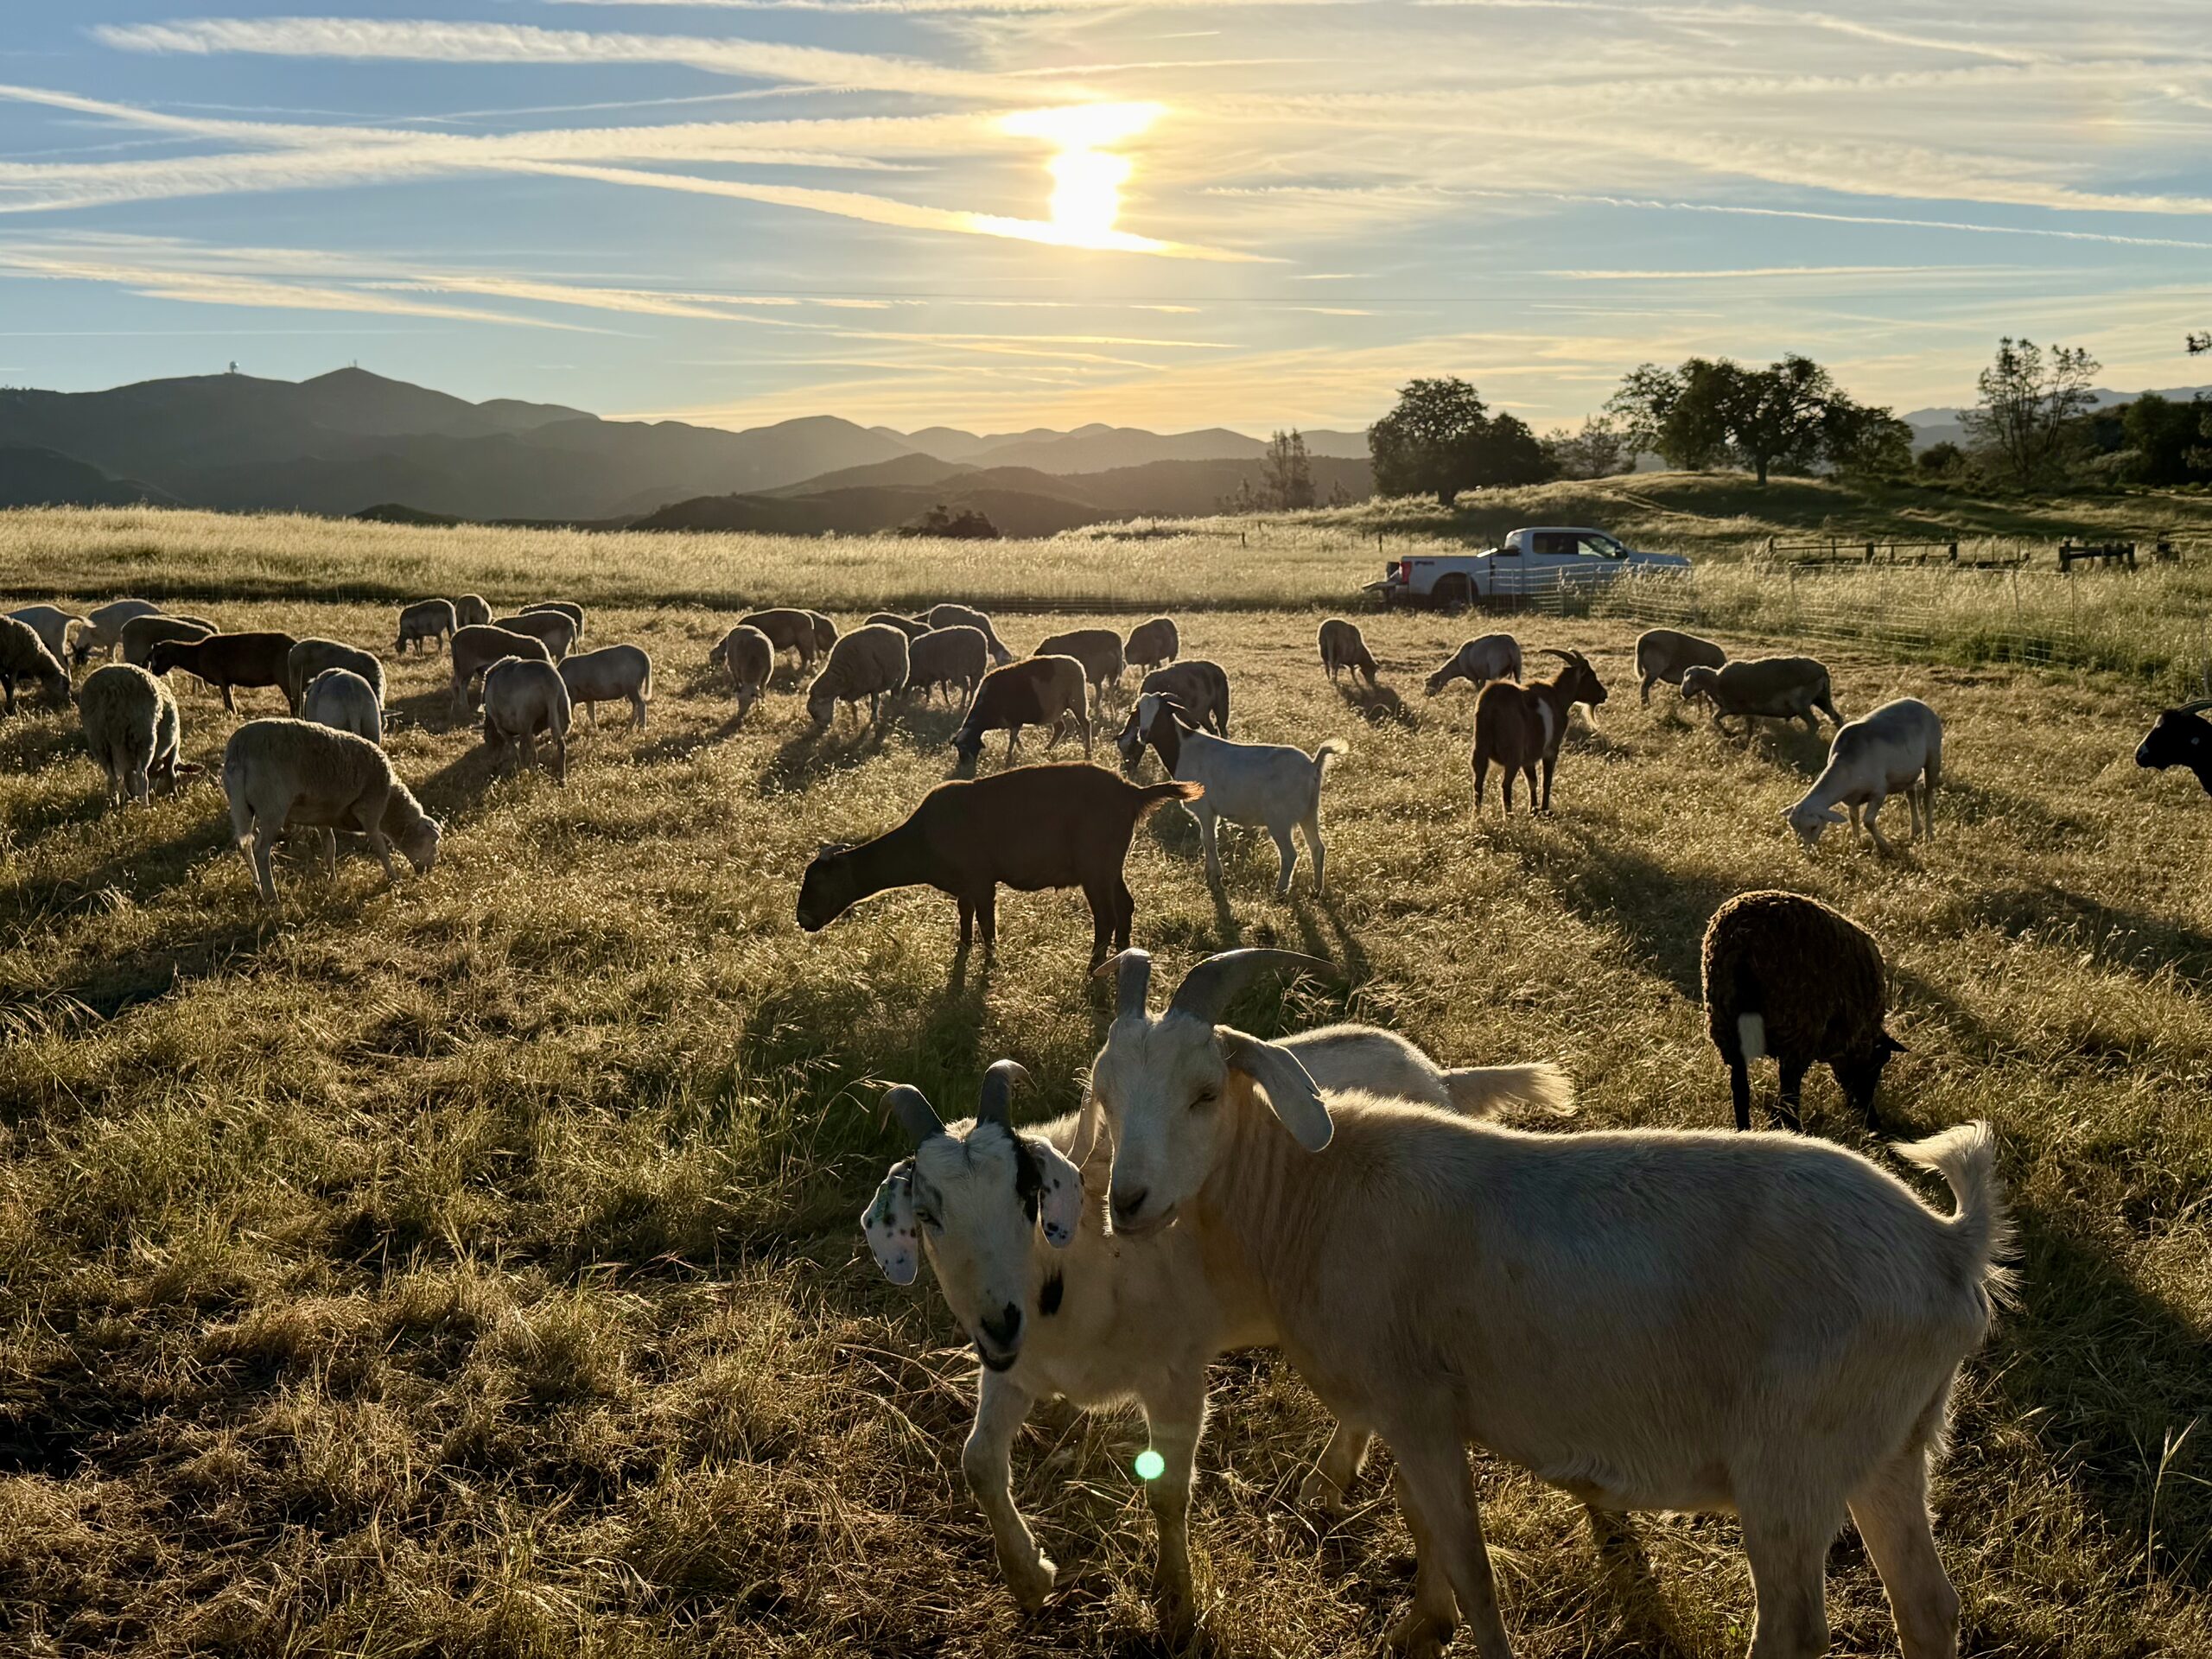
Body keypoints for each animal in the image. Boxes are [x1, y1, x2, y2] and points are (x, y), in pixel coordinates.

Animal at [797, 762, 1198, 967]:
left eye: (818, 884)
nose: (803, 920)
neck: (922, 840)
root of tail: (1132, 792)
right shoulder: (964, 885)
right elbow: (966, 915)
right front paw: (963, 949)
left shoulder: (981, 879)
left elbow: (987, 923)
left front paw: (990, 963)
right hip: (1111, 864)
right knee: (1126, 907)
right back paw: (1122, 958)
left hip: (1094, 865)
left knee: (1107, 916)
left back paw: (1094, 969)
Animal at [1083, 947, 2008, 1659]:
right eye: (1107, 1093)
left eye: (1206, 1091)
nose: (1128, 1201)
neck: (1314, 1191)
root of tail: (1949, 1247)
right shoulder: (1417, 1413)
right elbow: (1422, 1524)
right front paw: (1419, 1627)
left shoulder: (1416, 1404)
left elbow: (1469, 1559)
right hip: (1889, 1451)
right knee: (1929, 1610)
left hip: (1790, 1465)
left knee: (1795, 1632)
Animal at [1116, 692, 1345, 896]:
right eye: (1138, 711)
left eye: (1162, 712)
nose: (1144, 734)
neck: (1183, 749)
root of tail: (1313, 766)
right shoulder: (1212, 812)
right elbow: (1206, 839)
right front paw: (1211, 872)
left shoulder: (1205, 809)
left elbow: (1208, 839)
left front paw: (1215, 876)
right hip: (1309, 813)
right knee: (1317, 848)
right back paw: (1316, 890)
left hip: (1279, 819)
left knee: (1289, 855)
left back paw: (1280, 892)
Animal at [1470, 647, 1606, 817]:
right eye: (1591, 676)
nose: (1604, 694)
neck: (1557, 695)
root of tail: (1490, 706)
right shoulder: (1551, 749)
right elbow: (1546, 781)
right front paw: (1545, 810)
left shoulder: (1528, 758)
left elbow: (1532, 781)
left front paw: (1533, 810)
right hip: (1513, 754)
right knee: (1505, 784)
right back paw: (1509, 817)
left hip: (1480, 750)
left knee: (1478, 783)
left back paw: (1477, 816)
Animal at [1786, 698, 1941, 853]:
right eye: (1794, 827)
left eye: (1814, 826)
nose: (1805, 850)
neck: (1846, 764)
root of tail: (1918, 702)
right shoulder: (1852, 798)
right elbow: (1853, 817)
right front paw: (1856, 843)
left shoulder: (1879, 792)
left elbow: (1867, 821)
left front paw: (1884, 846)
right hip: (1908, 772)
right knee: (1911, 796)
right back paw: (1915, 831)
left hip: (1933, 757)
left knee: (1928, 799)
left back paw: (1928, 836)